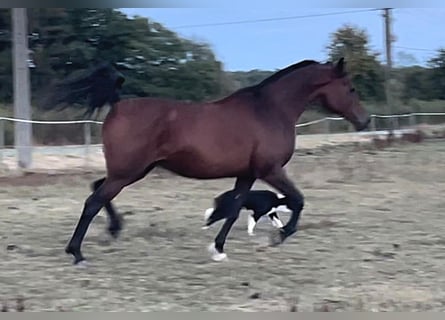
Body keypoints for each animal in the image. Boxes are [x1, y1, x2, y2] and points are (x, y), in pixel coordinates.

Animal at [46, 57, 370, 264]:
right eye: (351, 88)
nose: (364, 120)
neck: (270, 110)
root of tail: (118, 104)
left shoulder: (248, 174)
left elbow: (235, 208)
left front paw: (218, 248)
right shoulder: (270, 170)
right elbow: (298, 200)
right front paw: (279, 236)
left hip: (132, 170)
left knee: (97, 189)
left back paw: (113, 230)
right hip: (127, 172)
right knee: (93, 201)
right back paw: (77, 253)